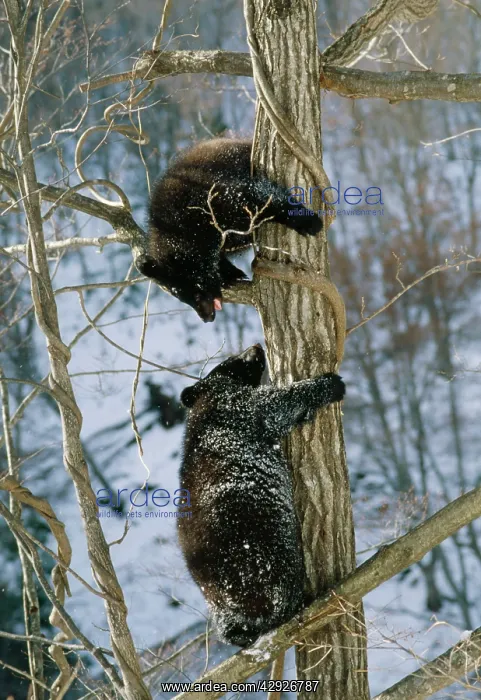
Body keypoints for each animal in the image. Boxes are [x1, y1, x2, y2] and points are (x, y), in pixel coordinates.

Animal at [137, 138, 324, 322]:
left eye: (195, 294)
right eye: (180, 296)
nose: (207, 318)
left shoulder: (217, 197)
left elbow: (259, 196)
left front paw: (307, 221)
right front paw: (230, 274)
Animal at [177, 343, 346, 646]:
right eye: (232, 360)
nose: (256, 346)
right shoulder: (234, 406)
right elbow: (274, 405)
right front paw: (327, 384)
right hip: (263, 552)